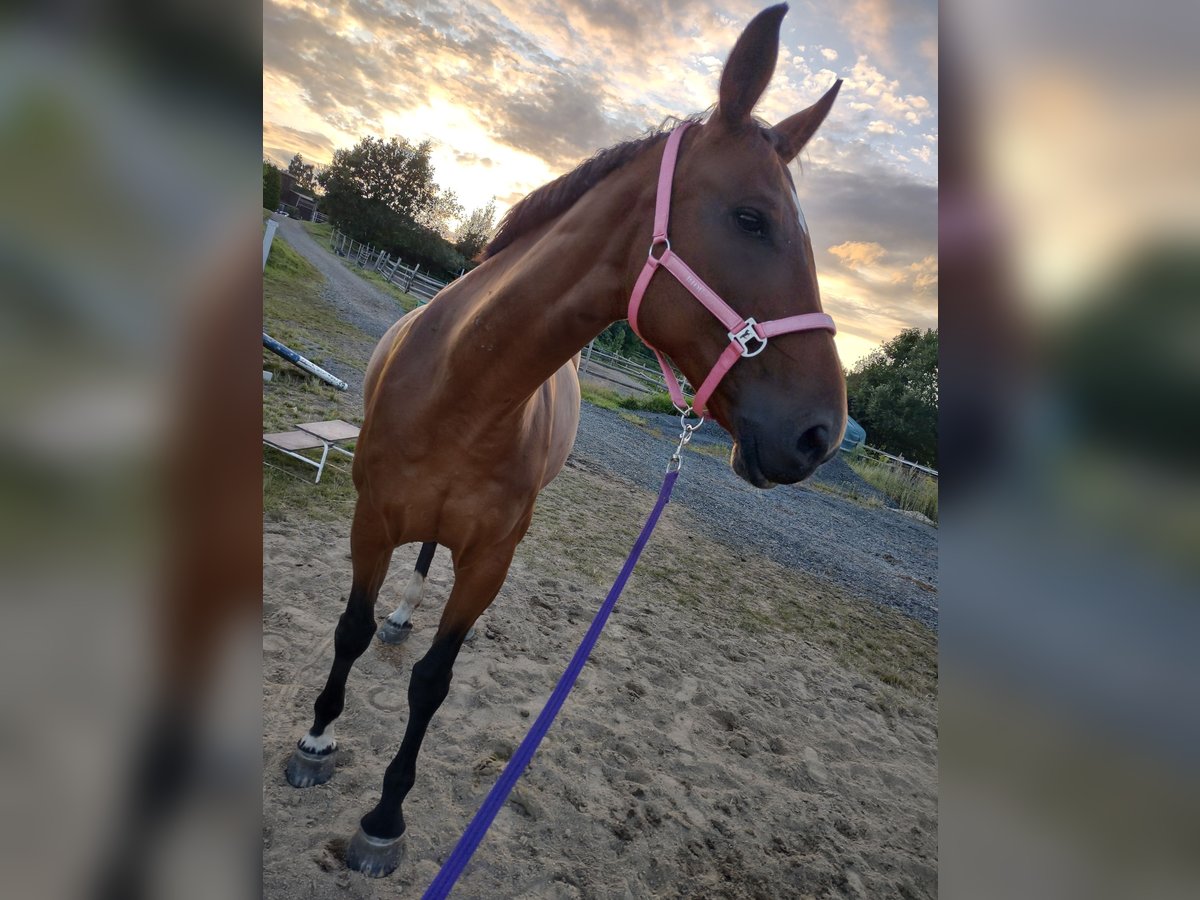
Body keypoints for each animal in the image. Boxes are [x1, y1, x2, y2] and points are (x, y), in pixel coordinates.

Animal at [283, 5, 844, 883]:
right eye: (751, 217)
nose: (823, 434)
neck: (464, 387)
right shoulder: (368, 521)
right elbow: (349, 631)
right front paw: (314, 742)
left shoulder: (491, 558)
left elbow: (434, 682)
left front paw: (384, 817)